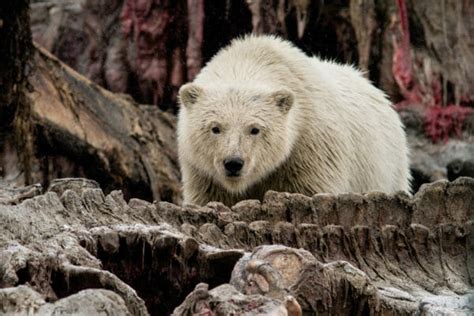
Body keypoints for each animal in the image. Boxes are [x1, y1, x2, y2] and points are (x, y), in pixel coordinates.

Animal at [178, 34, 412, 206]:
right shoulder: (203, 174)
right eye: (215, 128)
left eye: (255, 129)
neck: (249, 61)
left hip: (388, 167)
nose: (233, 163)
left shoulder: (309, 148)